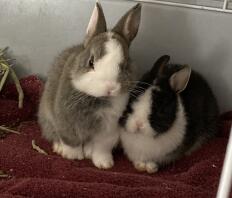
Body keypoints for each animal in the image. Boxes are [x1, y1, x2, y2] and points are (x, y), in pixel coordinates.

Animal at [38, 2, 141, 168]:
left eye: (125, 65)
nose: (110, 87)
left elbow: (102, 147)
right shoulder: (66, 121)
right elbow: (70, 140)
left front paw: (104, 164)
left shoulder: (108, 129)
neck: (97, 98)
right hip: (47, 117)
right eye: (91, 62)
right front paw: (73, 156)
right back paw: (60, 148)